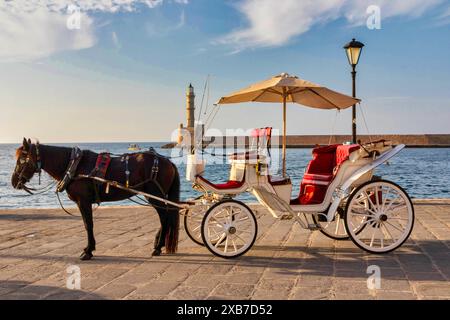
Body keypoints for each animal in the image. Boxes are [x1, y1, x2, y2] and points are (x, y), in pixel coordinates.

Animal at [11, 138, 179, 260]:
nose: (13, 181)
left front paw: (88, 251)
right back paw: (158, 243)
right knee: (166, 216)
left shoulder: (83, 201)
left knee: (165, 218)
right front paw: (89, 249)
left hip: (155, 195)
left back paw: (158, 247)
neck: (74, 165)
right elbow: (88, 224)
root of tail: (168, 161)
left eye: (21, 160)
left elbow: (88, 225)